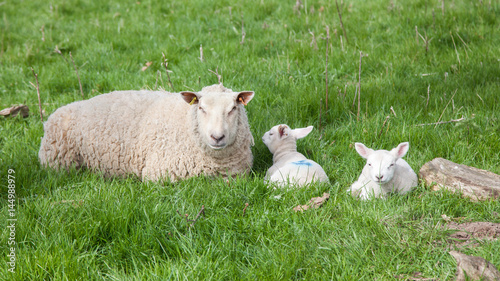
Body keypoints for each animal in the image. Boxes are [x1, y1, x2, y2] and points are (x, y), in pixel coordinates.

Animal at [38, 83, 256, 180]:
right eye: (201, 108)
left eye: (233, 108)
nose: (217, 137)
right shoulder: (160, 174)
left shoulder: (236, 175)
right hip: (59, 163)